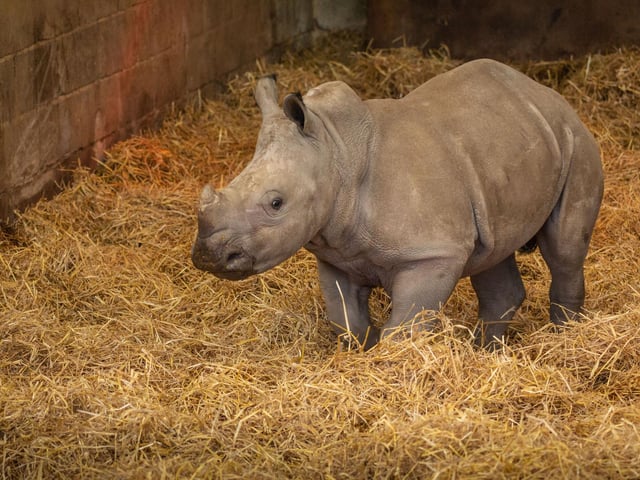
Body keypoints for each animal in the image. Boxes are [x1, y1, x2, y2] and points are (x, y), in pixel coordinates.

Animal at [191, 59, 603, 350]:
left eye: (276, 203)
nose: (209, 256)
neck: (337, 152)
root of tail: (543, 92)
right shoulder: (336, 253)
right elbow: (347, 321)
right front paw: (364, 349)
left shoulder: (432, 254)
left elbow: (404, 329)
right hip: (498, 155)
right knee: (494, 251)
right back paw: (486, 353)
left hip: (576, 141)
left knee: (564, 249)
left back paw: (564, 336)